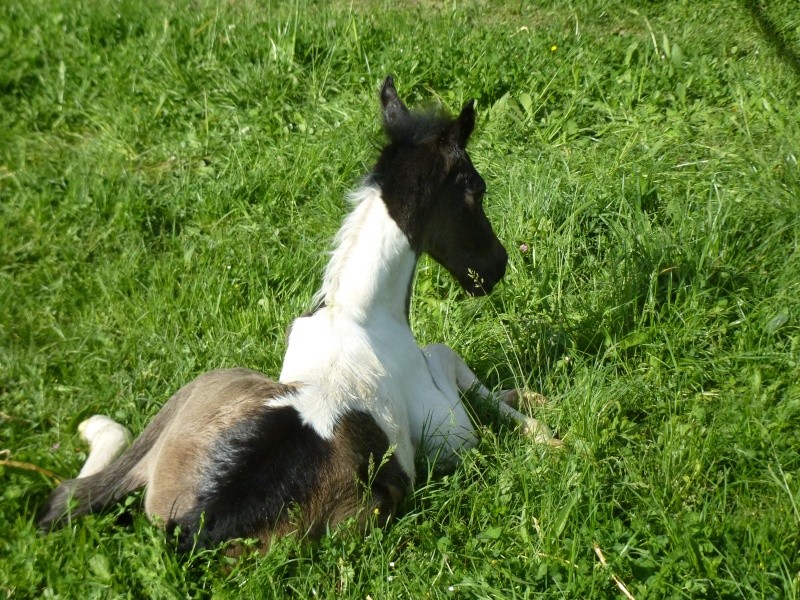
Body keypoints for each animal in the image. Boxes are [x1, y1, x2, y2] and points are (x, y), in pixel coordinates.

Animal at [40, 77, 552, 552]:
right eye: (477, 189)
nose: (496, 267)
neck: (357, 312)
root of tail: (193, 529)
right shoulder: (452, 436)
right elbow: (443, 354)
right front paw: (537, 421)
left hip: (196, 394)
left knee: (69, 498)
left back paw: (91, 428)